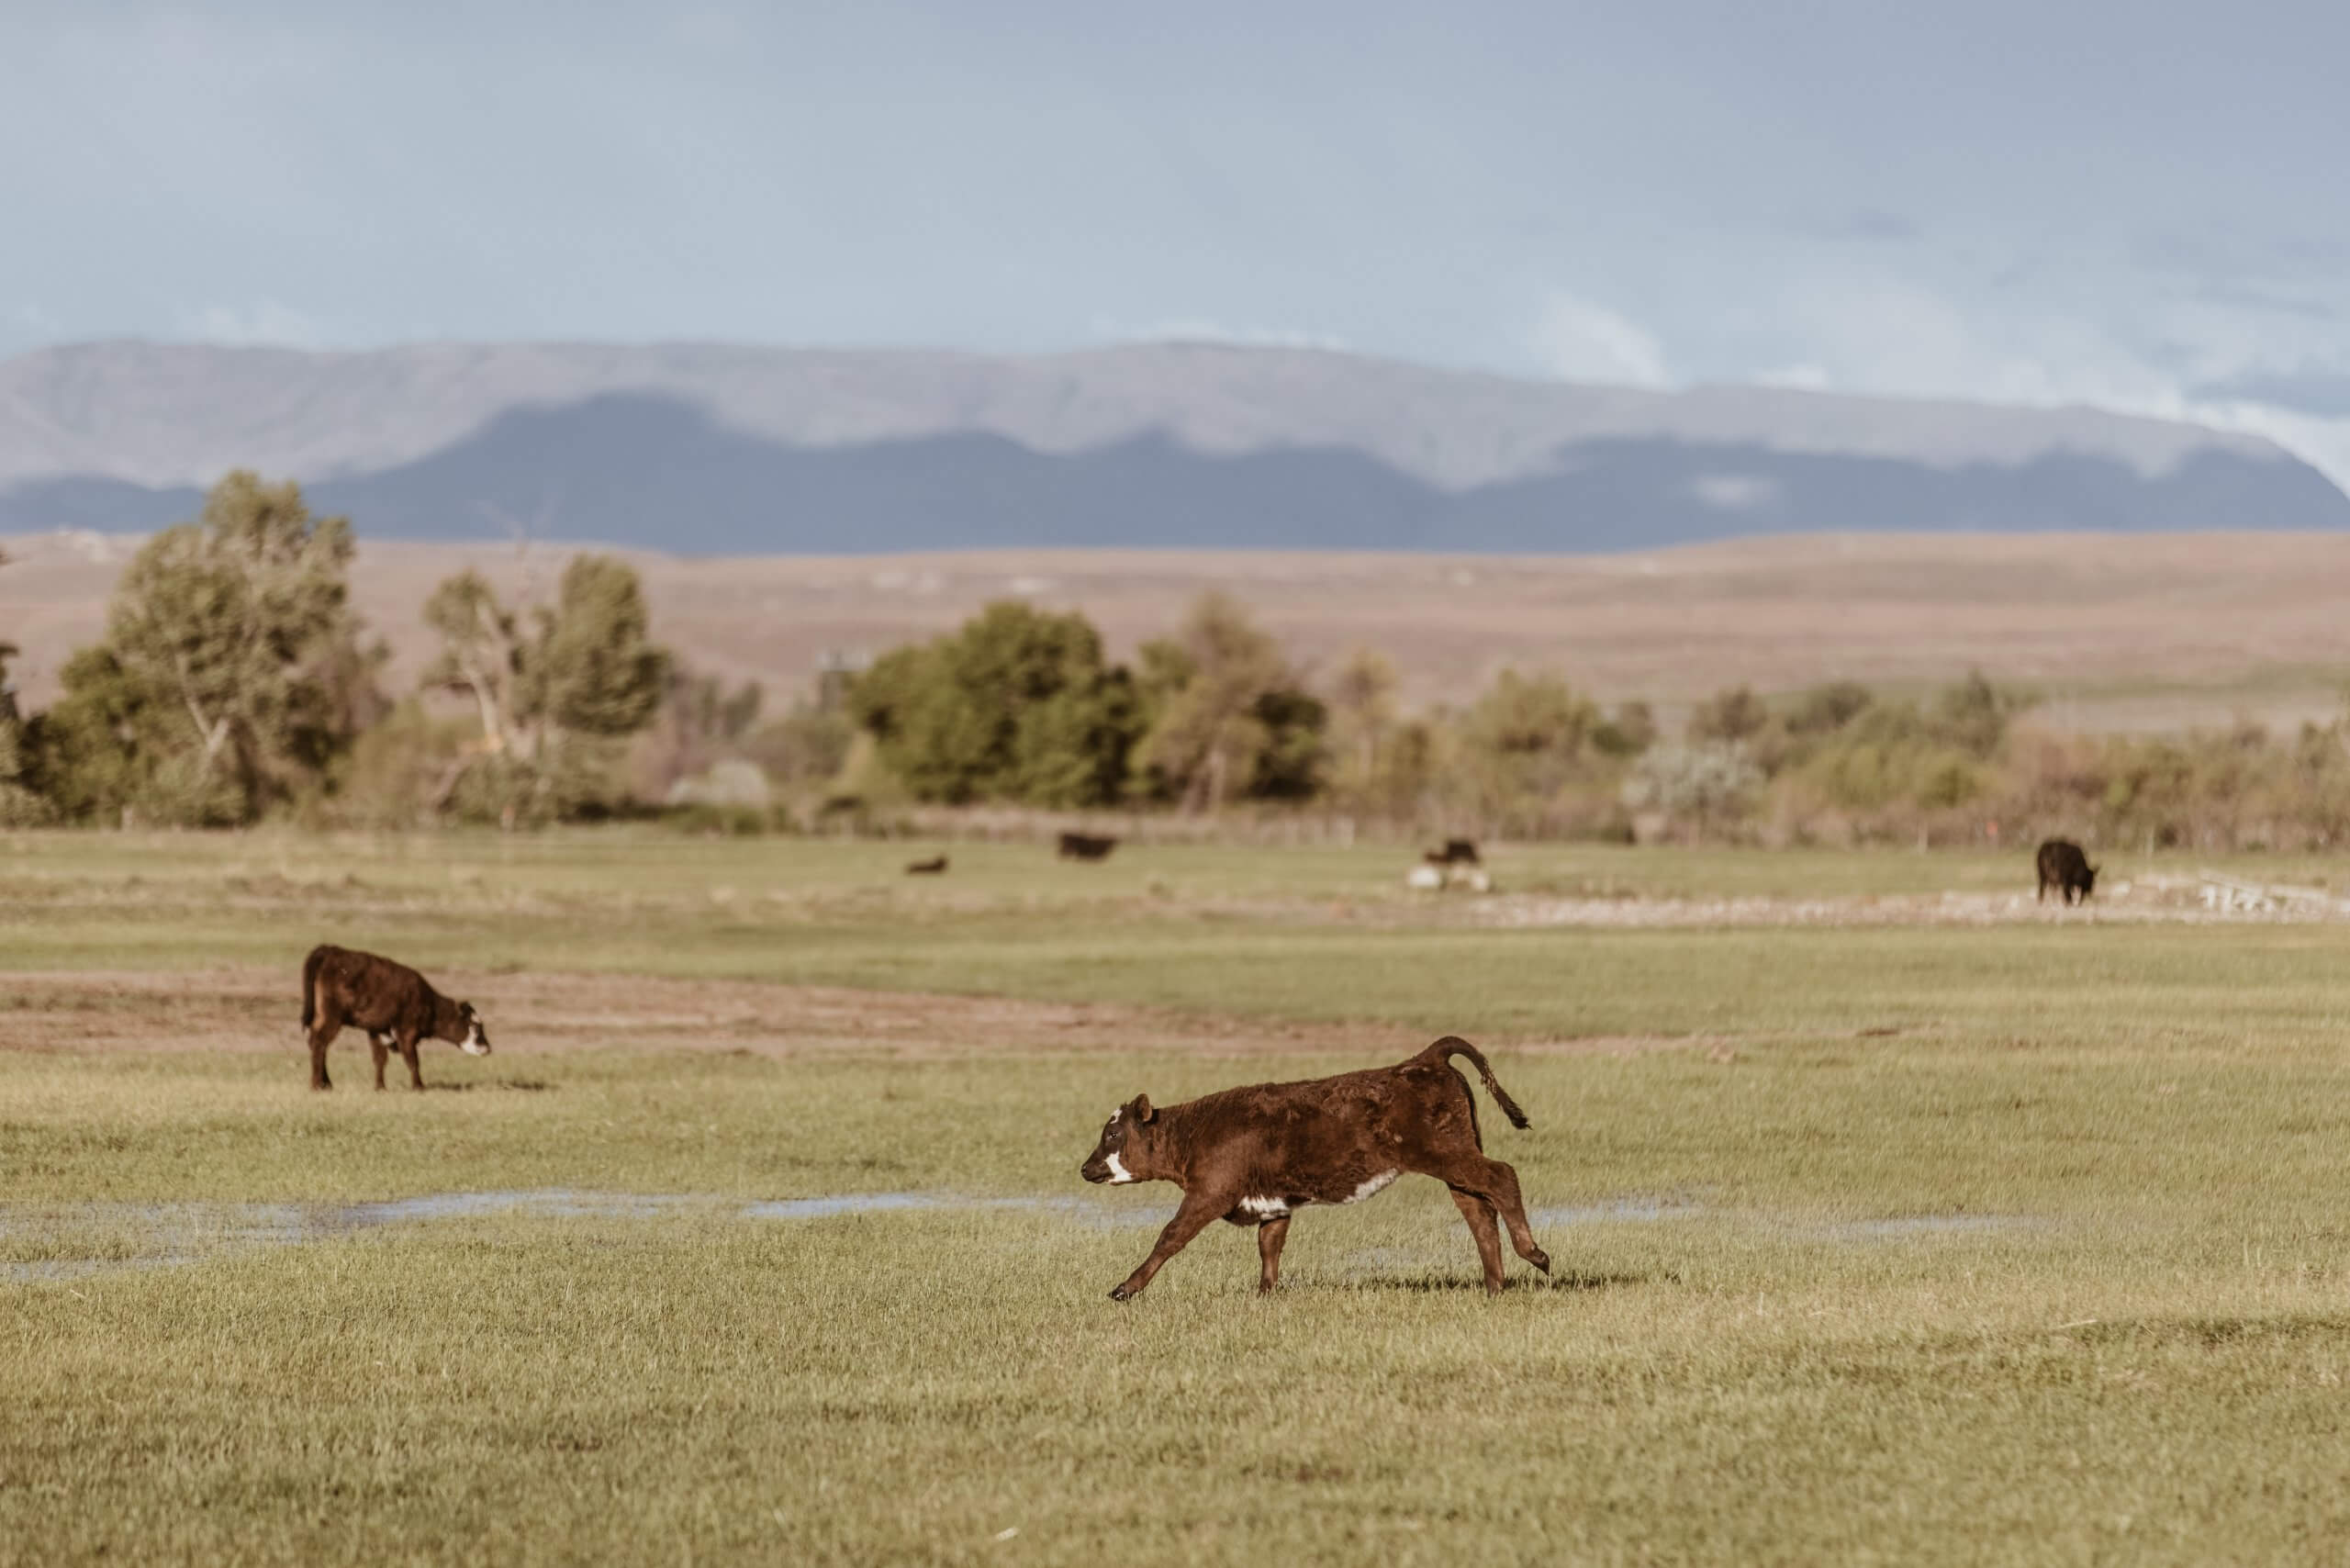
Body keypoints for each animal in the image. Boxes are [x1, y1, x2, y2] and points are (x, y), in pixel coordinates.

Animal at [300, 945, 488, 1091]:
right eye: (475, 1025)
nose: (487, 1048)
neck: (428, 1002)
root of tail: (330, 951)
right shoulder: (406, 1031)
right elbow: (412, 1060)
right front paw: (419, 1087)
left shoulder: (377, 1029)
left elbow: (380, 1059)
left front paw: (380, 1087)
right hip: (332, 1017)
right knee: (319, 1043)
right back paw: (317, 1085)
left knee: (317, 1043)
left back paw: (326, 1084)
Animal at [1076, 1043, 1550, 1297]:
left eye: (1113, 1134)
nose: (1086, 1168)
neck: (1196, 1130)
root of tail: (1424, 1058)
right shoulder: (1272, 1202)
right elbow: (1270, 1246)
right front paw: (1265, 1293)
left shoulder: (1209, 1193)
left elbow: (1170, 1237)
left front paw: (1125, 1288)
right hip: (1453, 1159)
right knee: (1477, 1209)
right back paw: (1494, 1284)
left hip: (1443, 1153)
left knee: (1501, 1178)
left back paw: (1534, 1254)